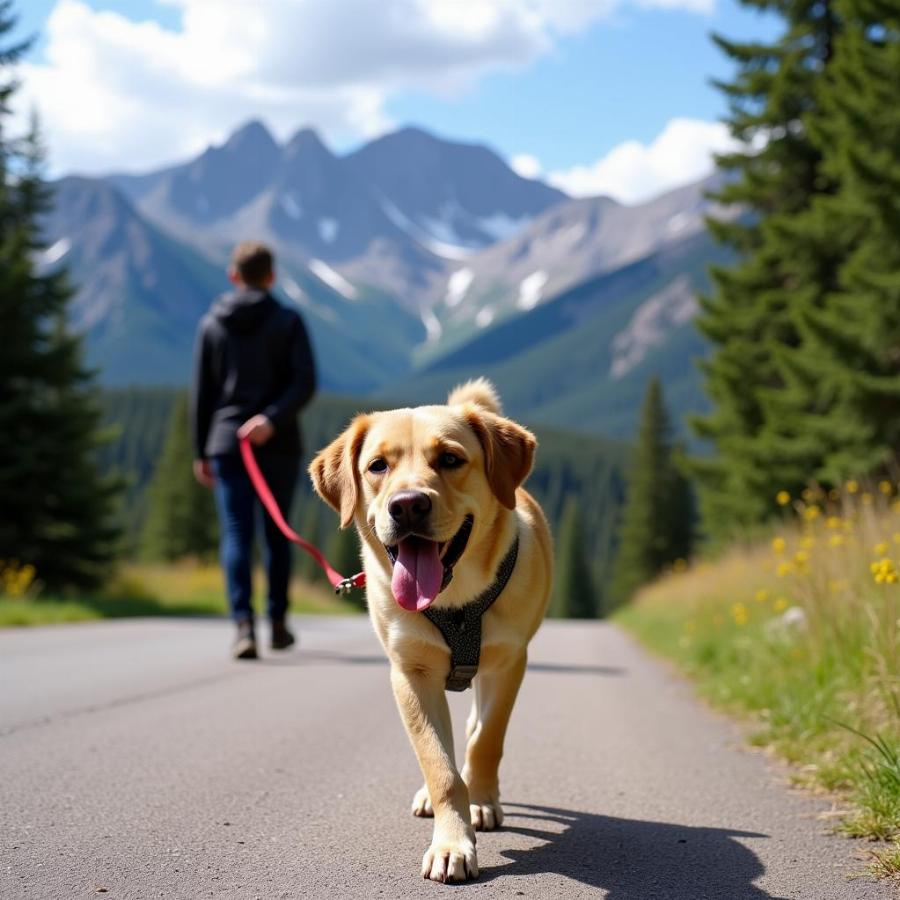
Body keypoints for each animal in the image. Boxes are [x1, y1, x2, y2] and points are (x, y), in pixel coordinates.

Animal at [310, 376, 552, 884]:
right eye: (377, 465)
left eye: (451, 459)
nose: (407, 506)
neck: (454, 602)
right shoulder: (410, 675)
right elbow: (439, 766)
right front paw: (451, 842)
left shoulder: (507, 665)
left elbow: (486, 741)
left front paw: (480, 802)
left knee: (475, 729)